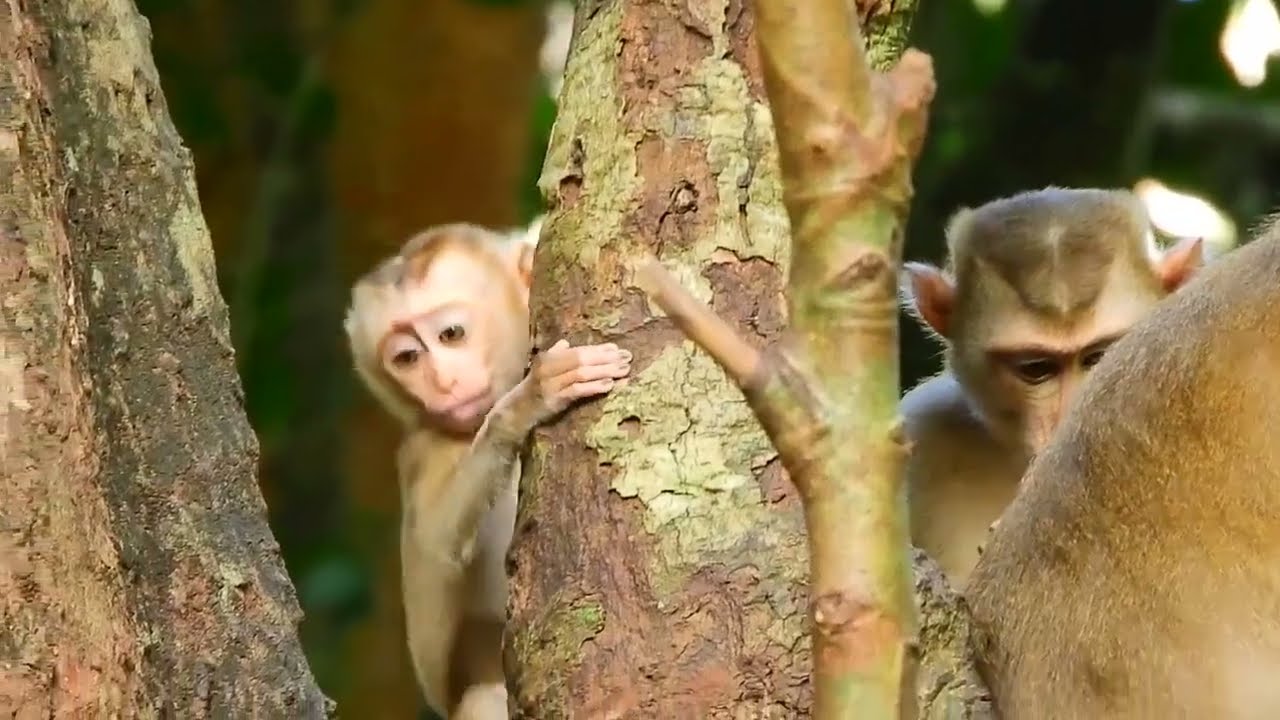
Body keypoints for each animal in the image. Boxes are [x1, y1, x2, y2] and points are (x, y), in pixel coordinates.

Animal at [344, 223, 632, 718]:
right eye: (407, 359)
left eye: (451, 334)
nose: (443, 383)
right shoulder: (426, 448)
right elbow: (436, 543)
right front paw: (528, 402)